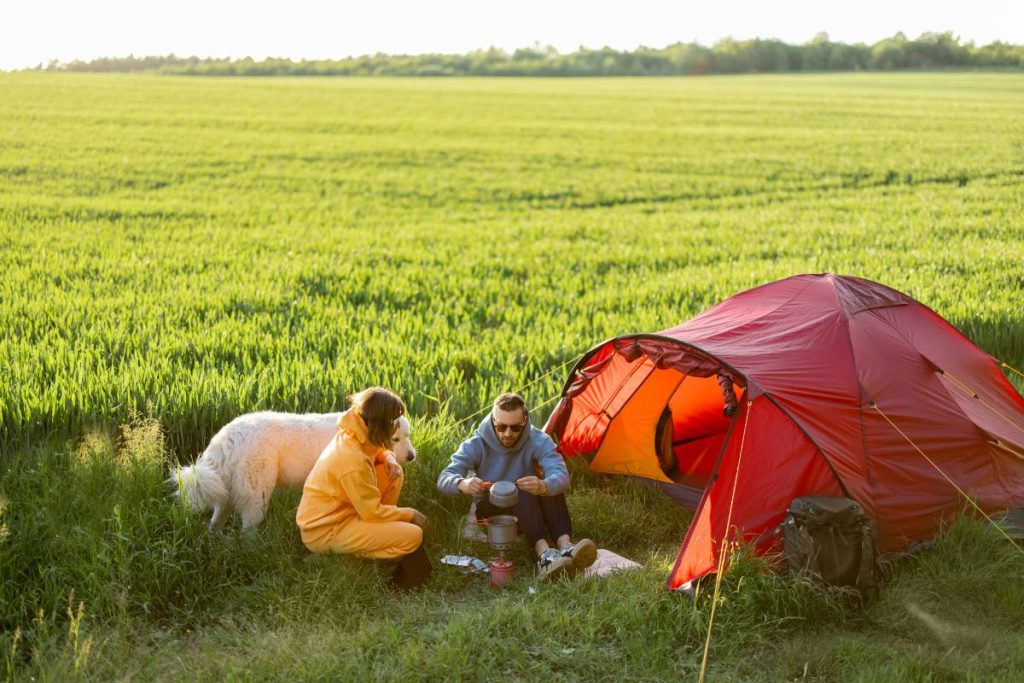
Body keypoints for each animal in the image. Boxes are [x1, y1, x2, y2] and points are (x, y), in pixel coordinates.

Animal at [172, 411, 415, 528]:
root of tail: (229, 435)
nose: (412, 456)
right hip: (256, 493)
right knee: (248, 527)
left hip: (227, 491)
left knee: (215, 522)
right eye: (396, 439)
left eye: (408, 435)